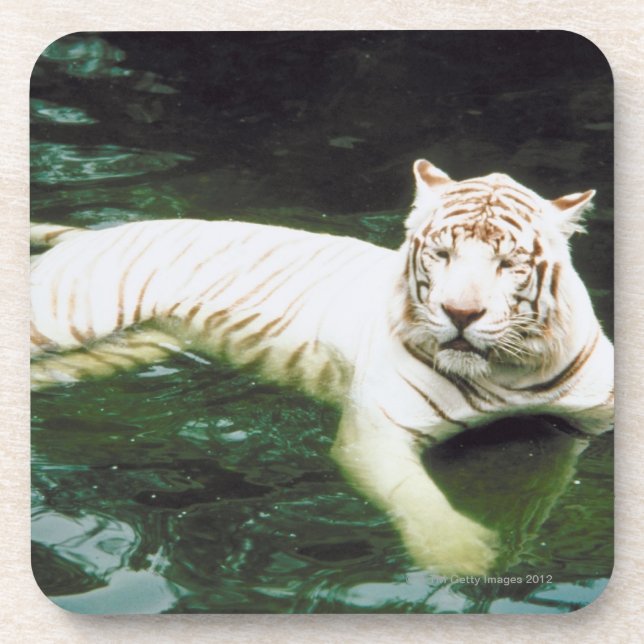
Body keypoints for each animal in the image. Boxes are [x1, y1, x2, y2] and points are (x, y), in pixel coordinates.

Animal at [30, 159, 614, 575]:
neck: (505, 372)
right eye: (442, 255)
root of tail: (87, 234)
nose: (461, 313)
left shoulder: (589, 416)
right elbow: (418, 497)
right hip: (64, 319)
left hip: (129, 348)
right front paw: (462, 557)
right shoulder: (377, 433)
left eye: (507, 263)